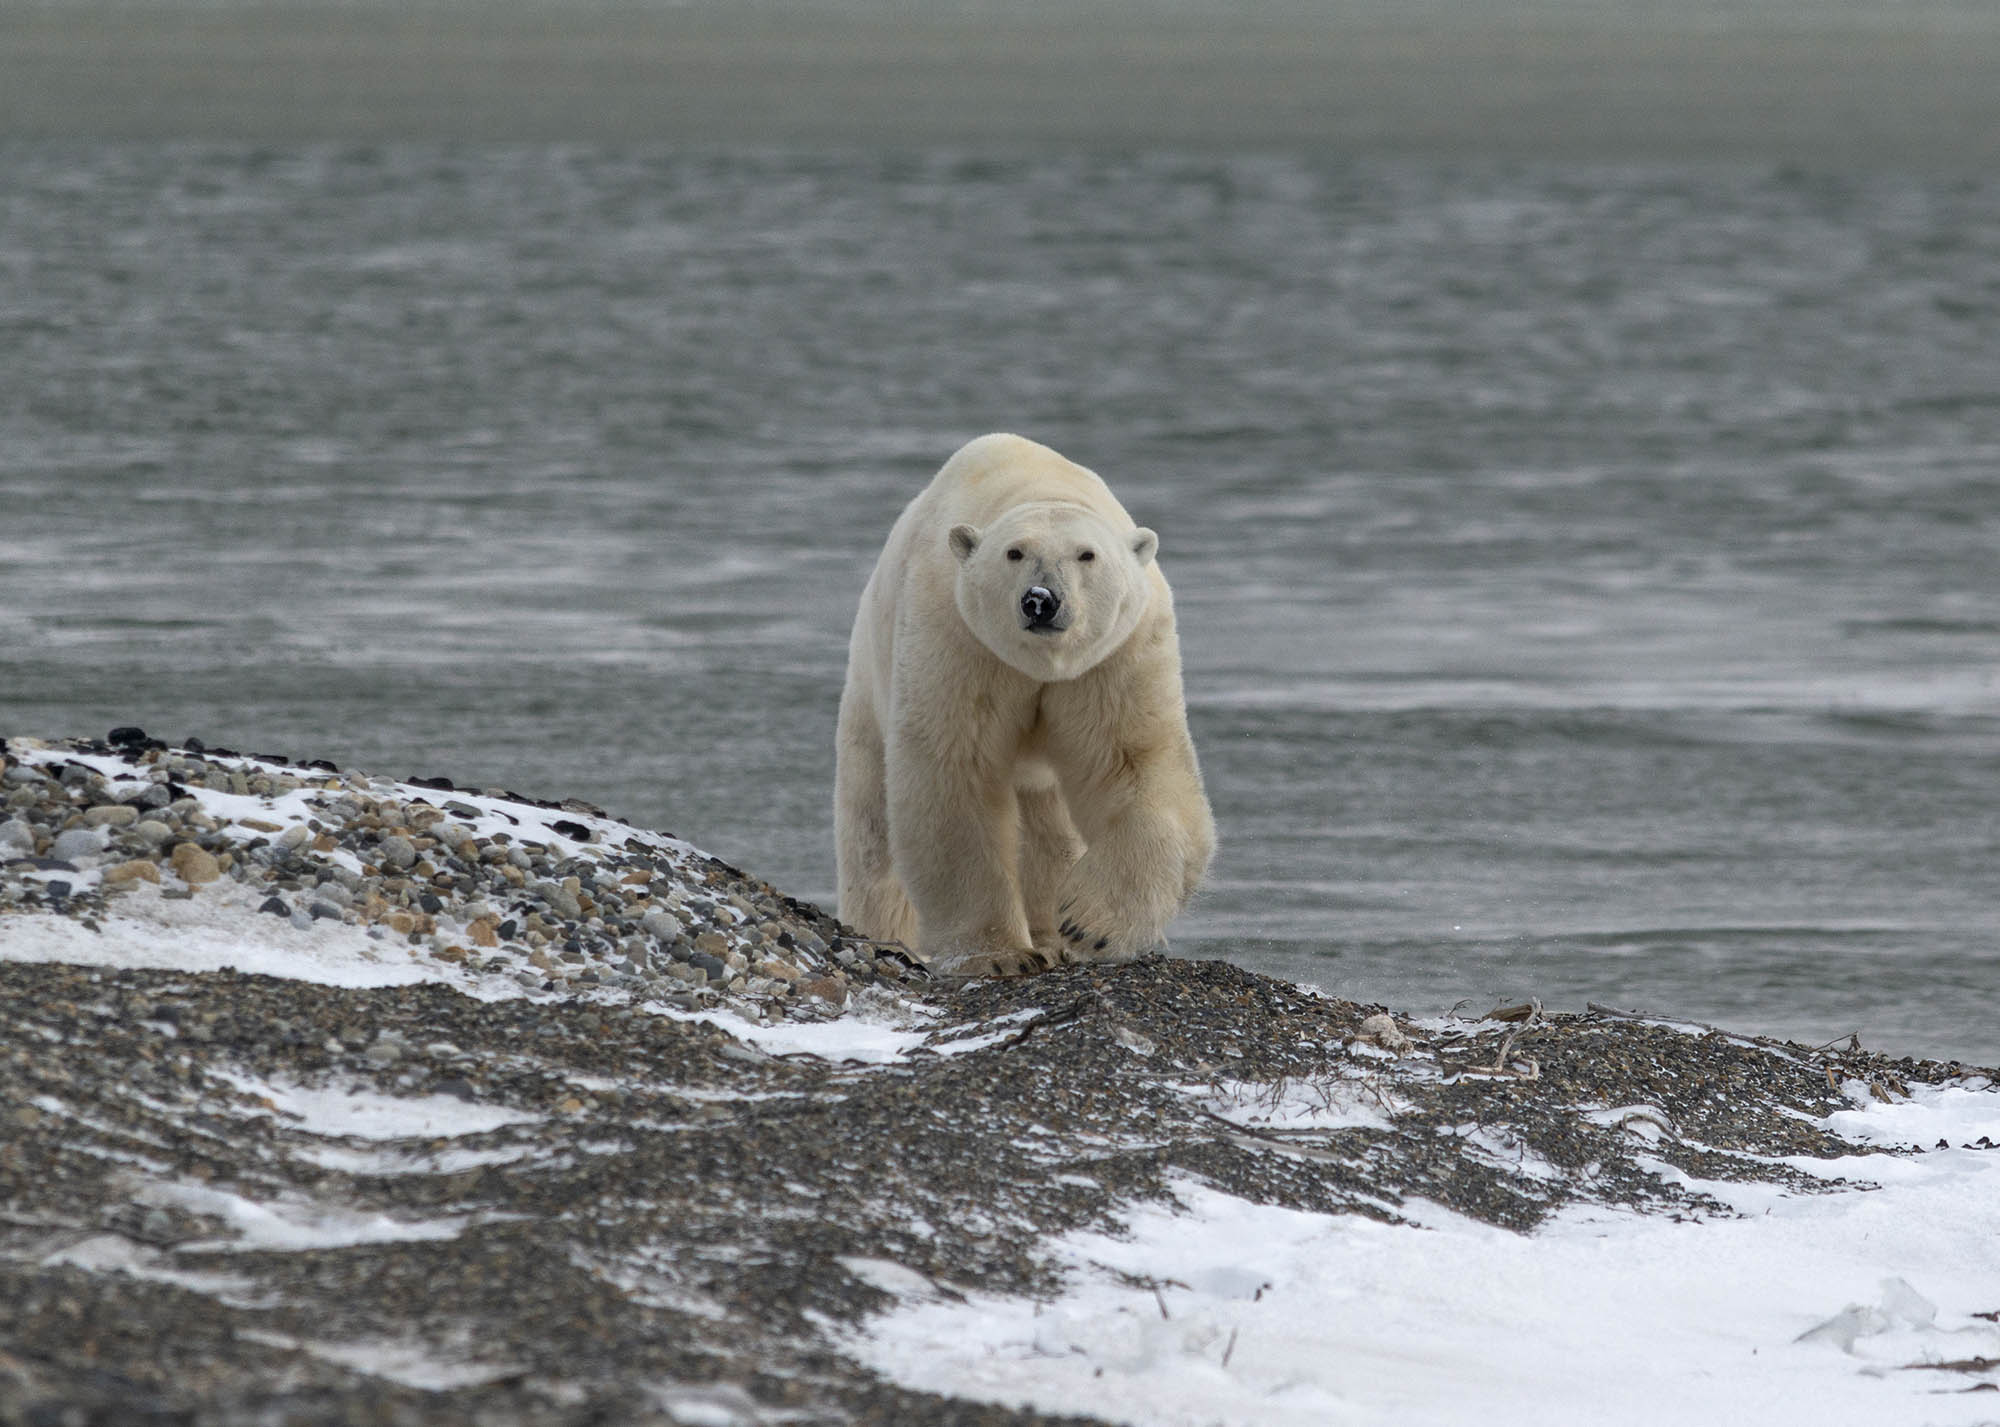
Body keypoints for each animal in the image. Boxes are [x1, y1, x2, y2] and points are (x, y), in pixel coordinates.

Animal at [832, 433, 1208, 979]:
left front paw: (1089, 925)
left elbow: (1133, 762)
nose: (1041, 600)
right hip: (868, 691)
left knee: (1049, 828)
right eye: (1014, 552)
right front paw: (997, 954)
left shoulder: (1117, 655)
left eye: (1087, 554)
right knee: (869, 835)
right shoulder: (959, 637)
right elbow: (956, 773)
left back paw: (1052, 936)